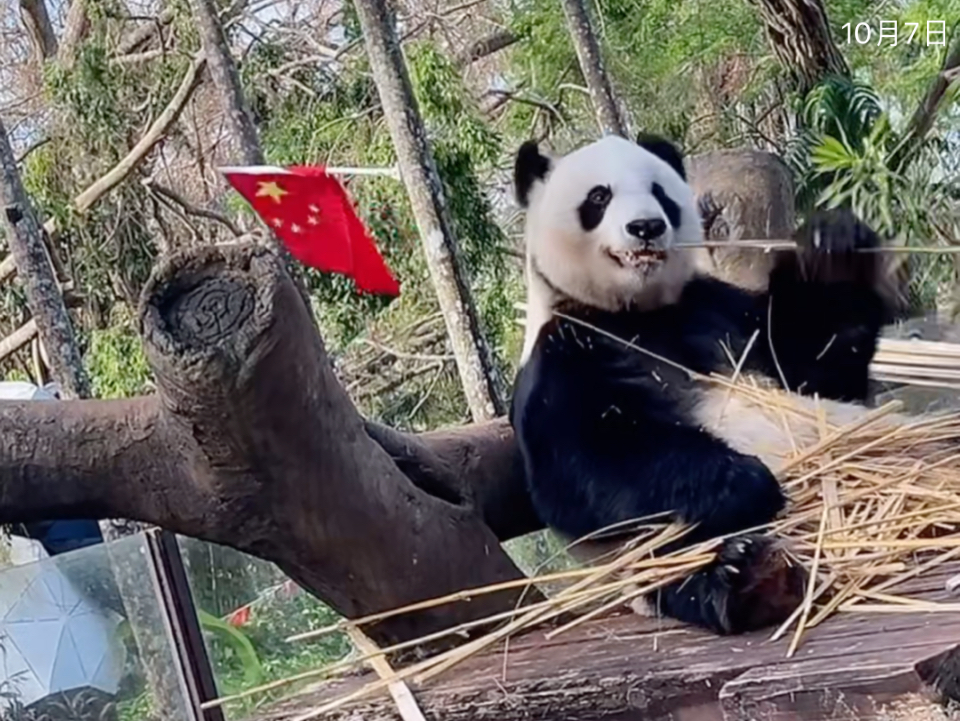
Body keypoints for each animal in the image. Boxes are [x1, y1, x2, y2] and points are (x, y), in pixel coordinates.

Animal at [512, 131, 904, 636]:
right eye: (599, 197)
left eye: (659, 192)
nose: (645, 227)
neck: (635, 312)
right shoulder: (563, 353)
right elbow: (583, 464)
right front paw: (745, 480)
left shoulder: (712, 308)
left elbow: (816, 371)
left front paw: (832, 249)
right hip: (640, 559)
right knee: (673, 558)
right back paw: (748, 576)